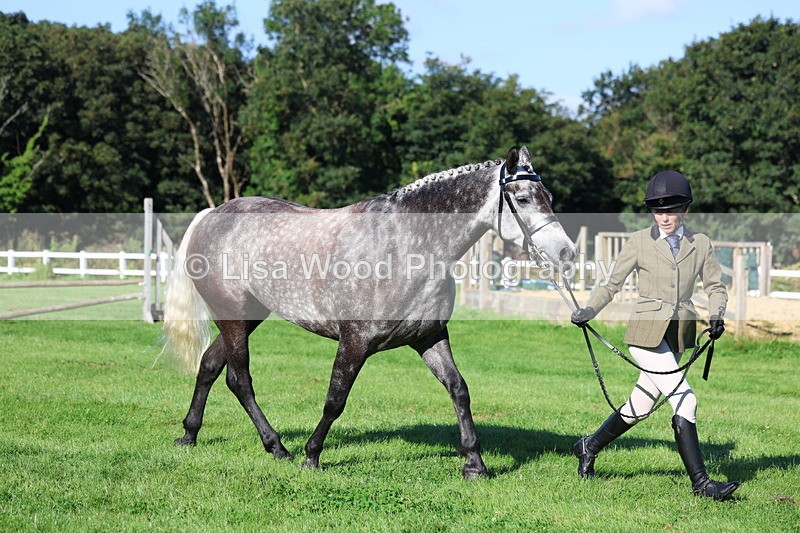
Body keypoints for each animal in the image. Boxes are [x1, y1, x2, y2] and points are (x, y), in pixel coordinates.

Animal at [162, 146, 576, 478]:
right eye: (522, 198)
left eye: (549, 195)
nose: (565, 253)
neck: (407, 248)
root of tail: (212, 213)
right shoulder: (355, 341)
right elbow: (335, 399)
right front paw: (312, 457)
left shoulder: (429, 337)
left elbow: (459, 390)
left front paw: (474, 464)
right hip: (231, 315)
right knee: (240, 379)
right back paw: (277, 447)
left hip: (248, 316)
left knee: (210, 366)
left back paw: (189, 434)